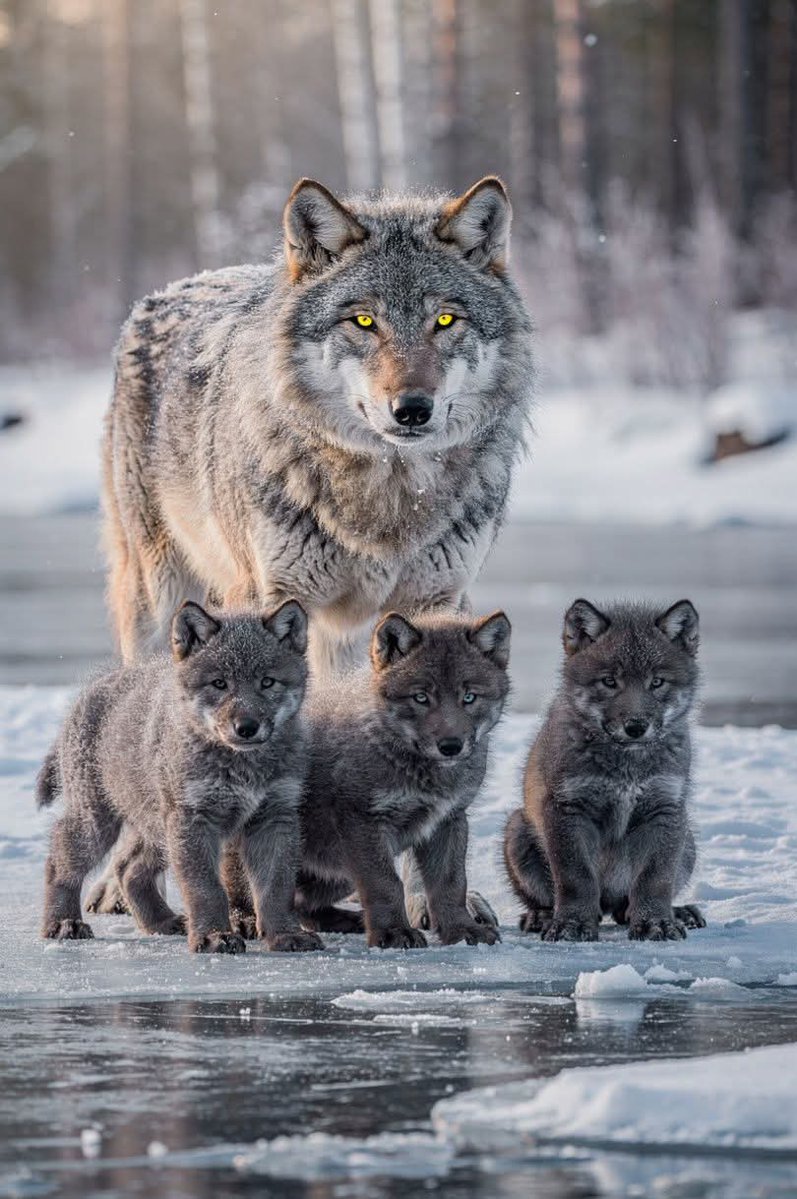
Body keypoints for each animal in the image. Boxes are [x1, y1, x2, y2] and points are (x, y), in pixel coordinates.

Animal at [37, 601, 322, 954]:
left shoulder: (274, 818)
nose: (246, 727)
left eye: (267, 682)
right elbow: (206, 889)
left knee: (128, 869)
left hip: (156, 827)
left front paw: (285, 935)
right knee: (60, 862)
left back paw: (162, 923)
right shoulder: (194, 820)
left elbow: (276, 889)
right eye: (219, 683)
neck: (242, 767)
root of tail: (96, 683)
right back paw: (63, 922)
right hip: (98, 823)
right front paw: (215, 936)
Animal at [104, 175, 532, 677]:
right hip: (158, 594)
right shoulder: (275, 597)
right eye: (364, 321)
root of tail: (158, 297)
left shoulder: (438, 600)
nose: (411, 409)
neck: (386, 496)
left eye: (445, 320)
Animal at [504, 599, 706, 942]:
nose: (636, 726)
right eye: (610, 681)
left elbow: (655, 879)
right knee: (549, 899)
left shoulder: (665, 808)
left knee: (627, 907)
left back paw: (677, 912)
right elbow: (575, 878)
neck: (627, 768)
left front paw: (656, 922)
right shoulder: (567, 809)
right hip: (517, 830)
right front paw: (572, 924)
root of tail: (609, 905)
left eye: (657, 682)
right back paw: (543, 916)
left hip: (688, 840)